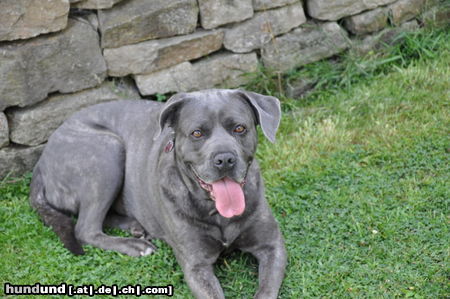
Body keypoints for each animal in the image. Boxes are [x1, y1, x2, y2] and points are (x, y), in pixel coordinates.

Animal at [29, 89, 286, 299]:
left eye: (239, 128)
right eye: (197, 133)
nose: (224, 159)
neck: (215, 211)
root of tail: (40, 163)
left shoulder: (272, 246)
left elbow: (266, 289)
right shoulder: (196, 265)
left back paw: (135, 227)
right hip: (106, 153)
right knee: (85, 228)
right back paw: (135, 245)